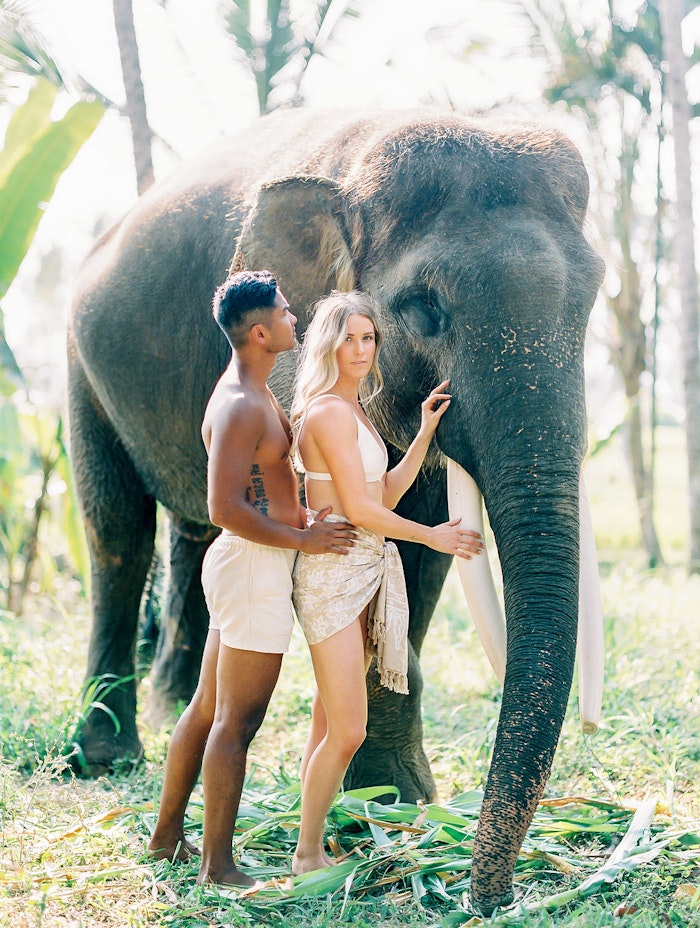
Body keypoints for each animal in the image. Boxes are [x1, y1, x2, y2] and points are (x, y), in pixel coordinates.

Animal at [67, 107, 604, 914]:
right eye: (425, 306)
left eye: (594, 295)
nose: (488, 899)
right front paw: (387, 806)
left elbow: (414, 549)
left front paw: (395, 803)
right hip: (80, 361)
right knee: (116, 532)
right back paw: (103, 759)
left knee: (195, 531)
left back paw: (172, 714)